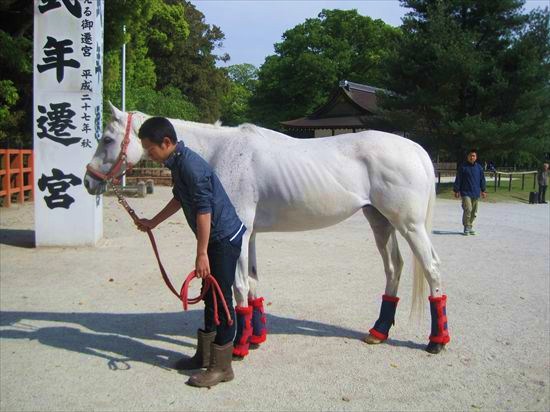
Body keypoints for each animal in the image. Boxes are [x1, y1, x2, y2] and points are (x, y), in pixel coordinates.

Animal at [84, 104, 450, 352]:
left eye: (107, 139)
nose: (88, 181)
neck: (221, 153)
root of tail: (415, 149)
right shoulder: (250, 235)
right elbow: (254, 283)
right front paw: (256, 336)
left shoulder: (239, 233)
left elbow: (238, 286)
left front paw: (239, 346)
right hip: (380, 221)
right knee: (394, 268)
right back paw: (379, 331)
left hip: (409, 225)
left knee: (431, 268)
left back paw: (436, 340)